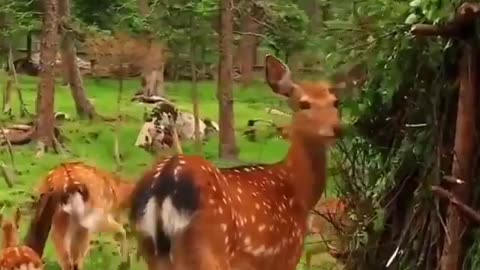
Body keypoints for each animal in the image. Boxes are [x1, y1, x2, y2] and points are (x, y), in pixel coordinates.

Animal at [129, 54, 344, 270]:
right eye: (304, 104)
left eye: (335, 102)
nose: (337, 128)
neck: (299, 192)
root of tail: (163, 187)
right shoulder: (286, 252)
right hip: (209, 249)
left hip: (152, 250)